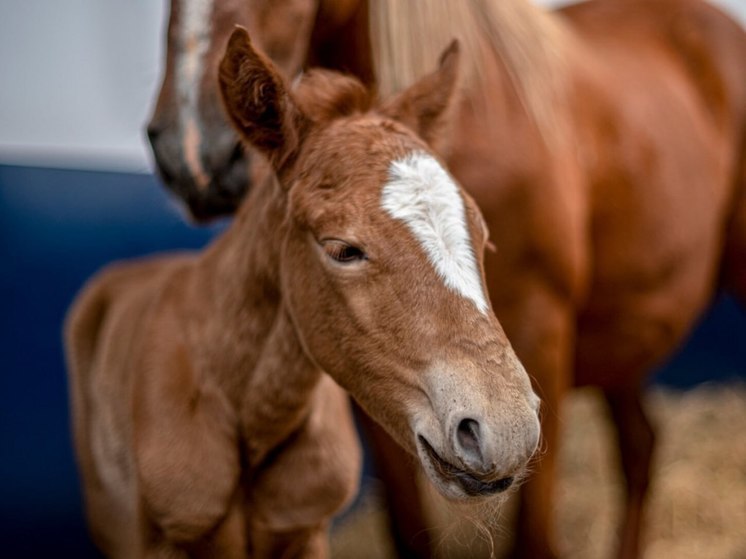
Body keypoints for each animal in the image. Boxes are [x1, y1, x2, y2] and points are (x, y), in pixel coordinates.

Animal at [147, 1, 744, 559]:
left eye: (482, 235)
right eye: (341, 250)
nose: (193, 155)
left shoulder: (543, 338)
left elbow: (535, 539)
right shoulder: (365, 384)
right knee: (640, 446)